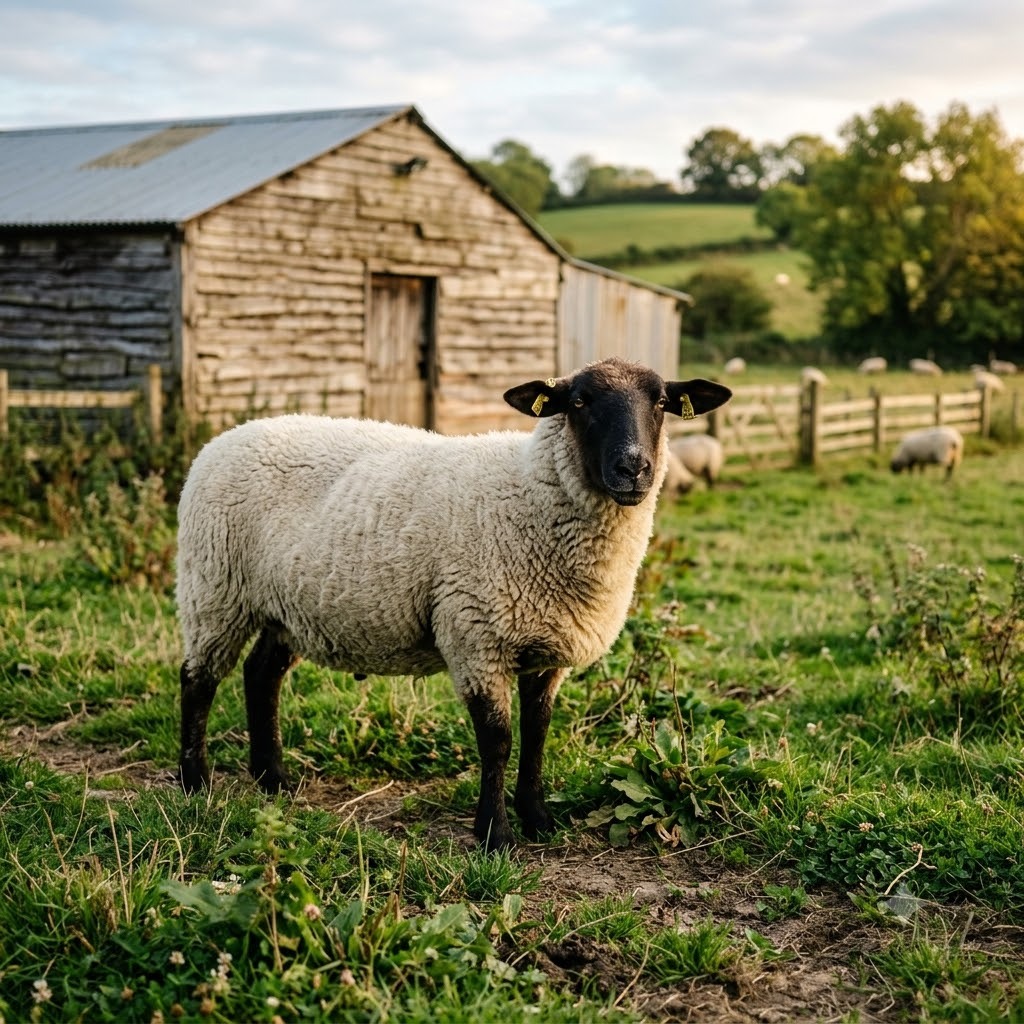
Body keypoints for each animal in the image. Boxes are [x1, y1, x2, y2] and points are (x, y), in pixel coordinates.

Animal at [175, 358, 733, 851]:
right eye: (579, 401)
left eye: (660, 402)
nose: (633, 468)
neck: (530, 494)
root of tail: (227, 436)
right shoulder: (475, 634)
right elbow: (498, 741)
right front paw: (495, 835)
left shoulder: (546, 646)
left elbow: (537, 733)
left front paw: (538, 819)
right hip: (215, 587)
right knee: (198, 680)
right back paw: (194, 782)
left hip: (287, 607)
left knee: (261, 675)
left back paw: (273, 779)